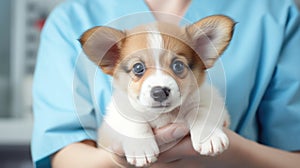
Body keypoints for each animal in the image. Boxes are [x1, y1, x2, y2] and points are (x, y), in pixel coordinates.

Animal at [79, 15, 234, 167]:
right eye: (138, 68)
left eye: (178, 66)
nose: (159, 92)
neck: (163, 115)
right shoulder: (116, 116)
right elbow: (133, 121)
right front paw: (141, 148)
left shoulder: (211, 102)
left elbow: (202, 113)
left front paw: (209, 137)